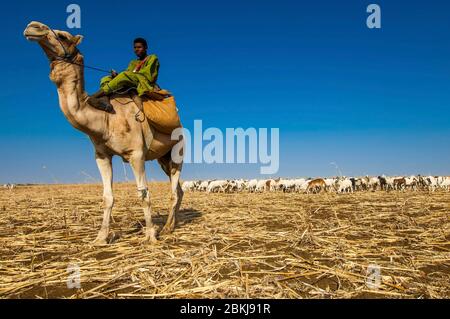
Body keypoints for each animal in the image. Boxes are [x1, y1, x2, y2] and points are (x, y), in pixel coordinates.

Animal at [23, 21, 183, 246]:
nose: (32, 26)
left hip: (178, 150)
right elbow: (107, 197)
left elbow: (143, 194)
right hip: (163, 158)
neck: (105, 118)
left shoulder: (136, 154)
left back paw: (168, 227)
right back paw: (171, 225)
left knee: (174, 190)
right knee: (179, 189)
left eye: (63, 36)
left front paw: (151, 235)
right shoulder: (101, 154)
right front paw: (100, 237)